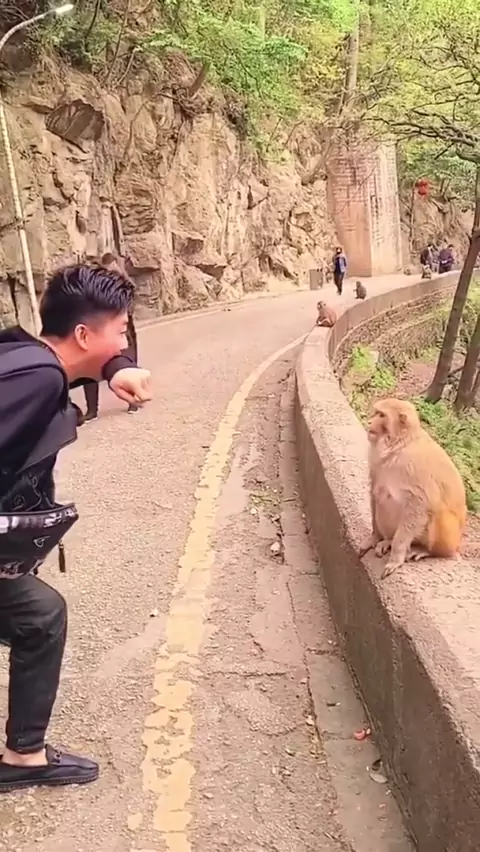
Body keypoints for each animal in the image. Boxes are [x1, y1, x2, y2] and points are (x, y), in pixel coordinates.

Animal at [359, 398, 467, 579]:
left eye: (381, 415)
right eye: (376, 412)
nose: (369, 421)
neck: (398, 446)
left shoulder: (416, 466)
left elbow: (421, 505)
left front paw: (396, 557)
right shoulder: (376, 460)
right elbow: (375, 489)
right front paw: (374, 538)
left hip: (450, 540)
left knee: (437, 511)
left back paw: (427, 551)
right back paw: (388, 540)